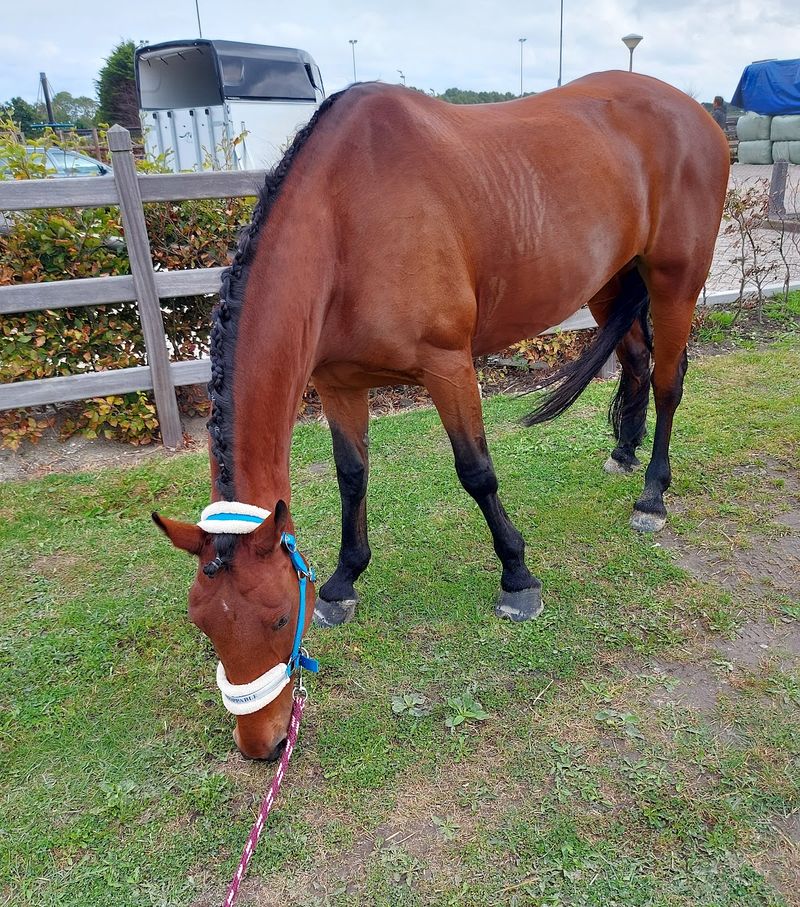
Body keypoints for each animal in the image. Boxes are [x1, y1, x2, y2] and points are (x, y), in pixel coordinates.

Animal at [154, 71, 730, 759]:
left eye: (277, 617)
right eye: (203, 624)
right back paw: (624, 453)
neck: (346, 217)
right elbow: (352, 476)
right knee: (638, 364)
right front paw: (344, 581)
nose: (261, 743)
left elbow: (475, 471)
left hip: (676, 279)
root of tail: (698, 113)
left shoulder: (449, 365)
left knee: (668, 382)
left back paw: (652, 495)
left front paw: (517, 577)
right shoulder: (338, 383)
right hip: (610, 279)